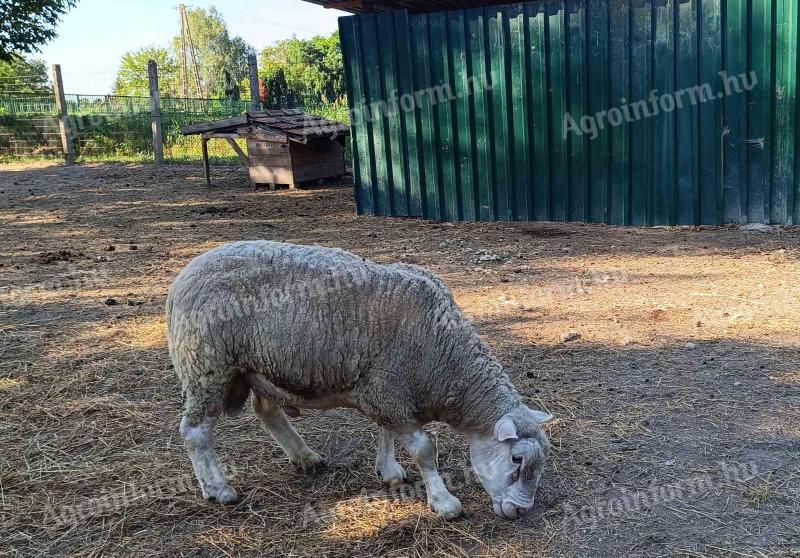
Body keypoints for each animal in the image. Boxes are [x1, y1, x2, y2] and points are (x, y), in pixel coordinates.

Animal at [166, 243, 552, 524]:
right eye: (516, 459)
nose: (521, 510)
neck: (444, 355)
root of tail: (185, 275)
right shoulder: (388, 390)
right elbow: (425, 450)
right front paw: (443, 501)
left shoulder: (385, 391)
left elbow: (387, 434)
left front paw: (389, 471)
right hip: (207, 366)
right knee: (195, 432)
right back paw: (218, 489)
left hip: (259, 368)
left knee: (267, 411)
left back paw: (305, 457)